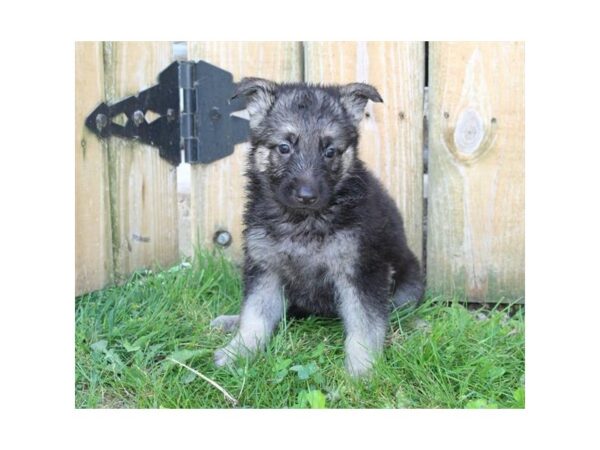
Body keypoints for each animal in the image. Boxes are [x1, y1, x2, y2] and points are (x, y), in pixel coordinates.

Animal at [211, 78, 422, 376]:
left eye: (330, 151)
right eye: (284, 148)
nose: (307, 195)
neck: (303, 221)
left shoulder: (360, 272)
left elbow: (365, 325)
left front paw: (362, 370)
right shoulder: (266, 270)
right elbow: (254, 315)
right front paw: (239, 351)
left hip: (406, 287)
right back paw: (231, 321)